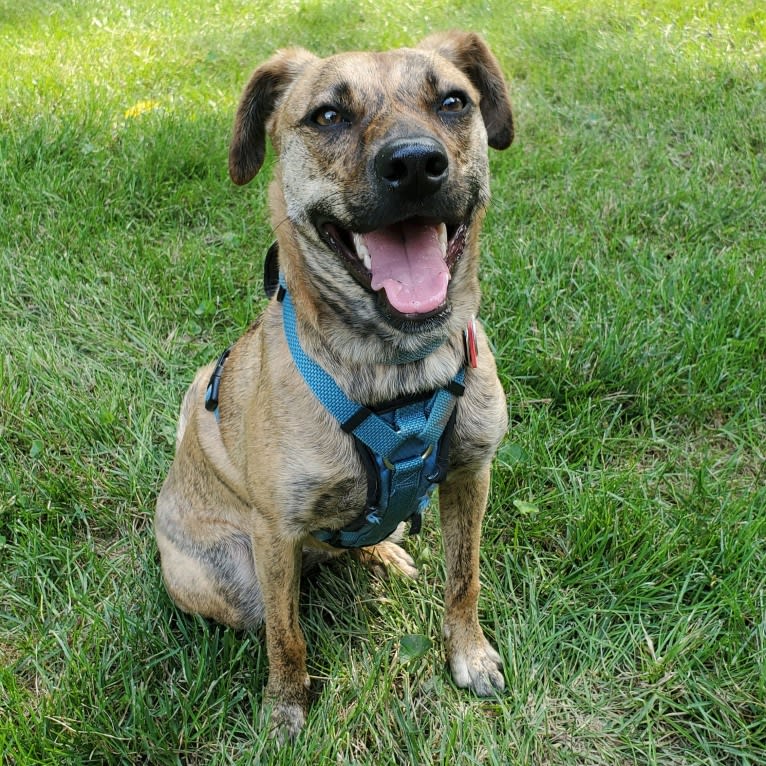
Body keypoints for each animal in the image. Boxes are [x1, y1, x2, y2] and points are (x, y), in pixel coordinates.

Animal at [154, 31, 516, 744]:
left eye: (453, 102)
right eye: (327, 115)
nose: (416, 165)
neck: (397, 370)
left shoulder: (470, 476)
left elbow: (464, 578)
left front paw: (469, 653)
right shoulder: (275, 531)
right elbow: (286, 637)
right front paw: (287, 706)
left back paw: (385, 556)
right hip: (232, 576)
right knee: (278, 598)